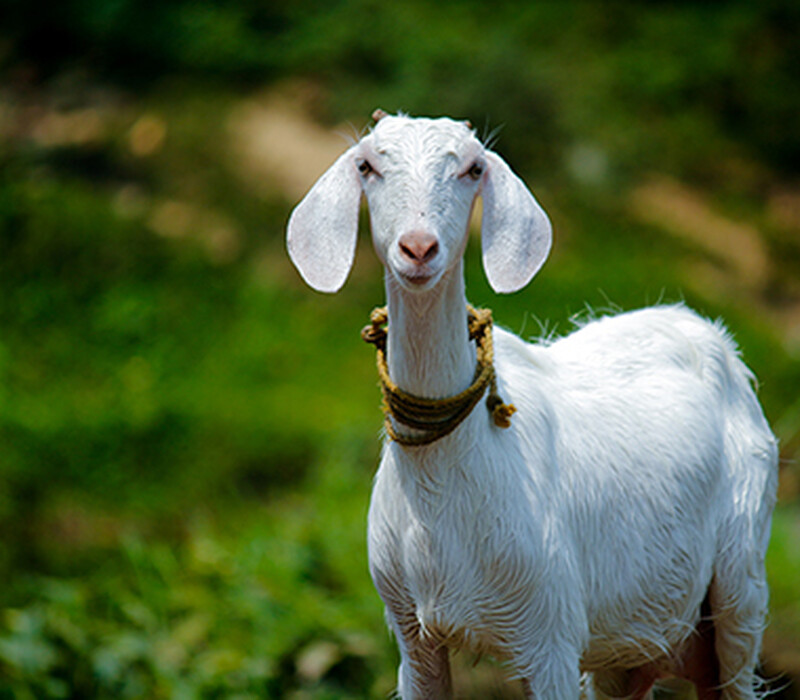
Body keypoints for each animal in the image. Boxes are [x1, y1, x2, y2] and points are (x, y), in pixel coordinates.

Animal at [286, 112, 778, 700]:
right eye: (366, 164)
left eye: (473, 168)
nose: (419, 249)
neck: (448, 478)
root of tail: (707, 331)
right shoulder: (412, 633)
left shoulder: (550, 631)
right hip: (630, 647)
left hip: (741, 585)